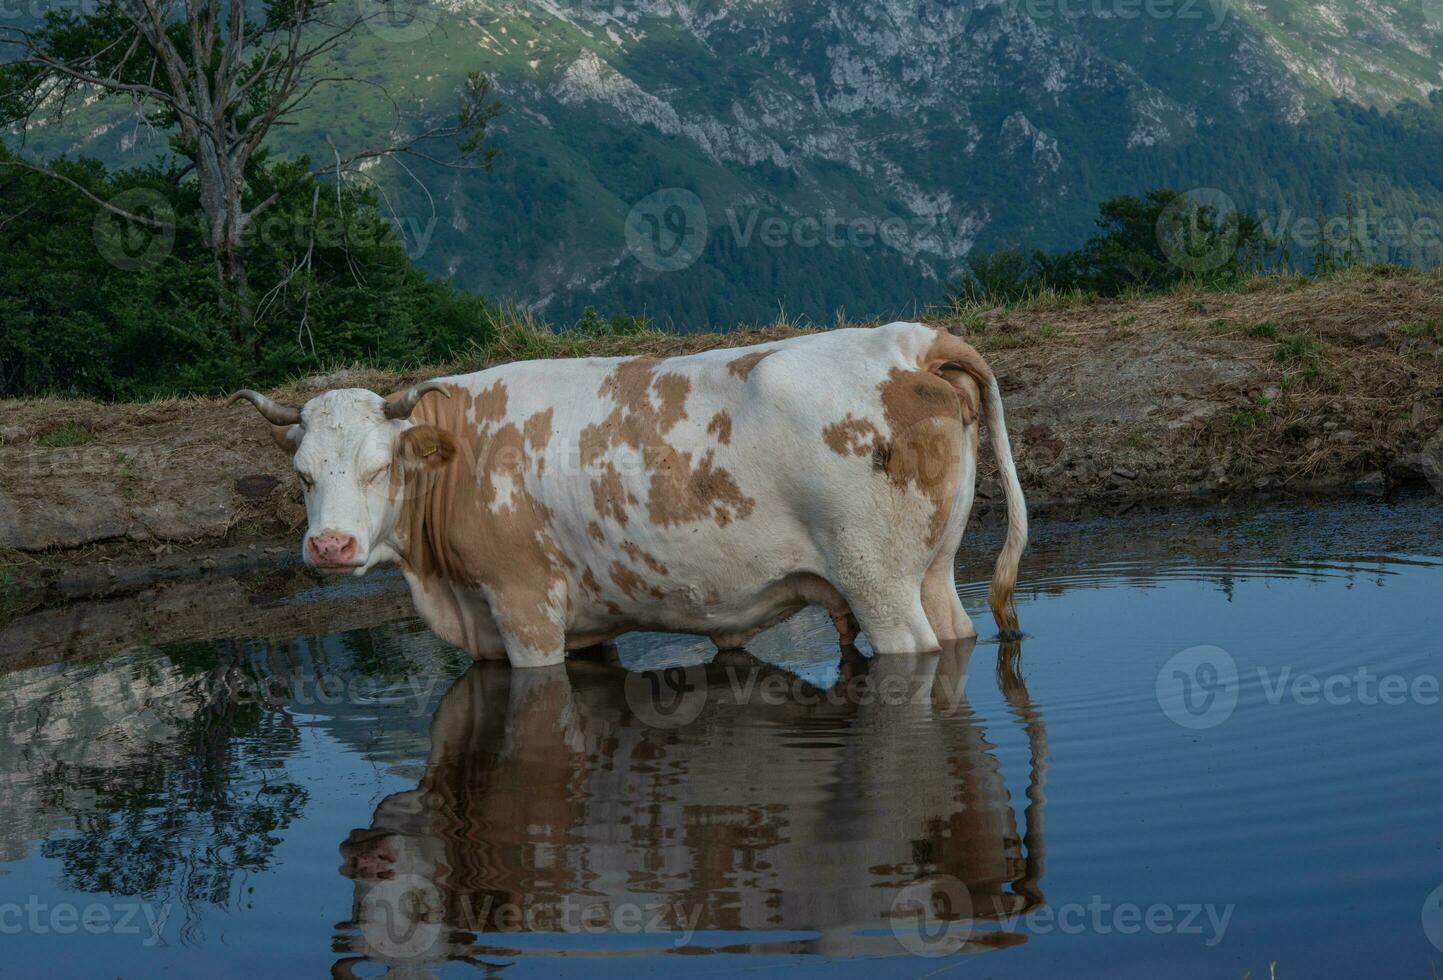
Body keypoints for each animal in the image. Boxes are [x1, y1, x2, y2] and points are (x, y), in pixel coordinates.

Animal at [233, 321, 1027, 666]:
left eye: (378, 467)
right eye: (302, 473)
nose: (329, 546)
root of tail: (911, 341)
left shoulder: (524, 605)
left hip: (877, 581)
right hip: (930, 569)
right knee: (956, 632)